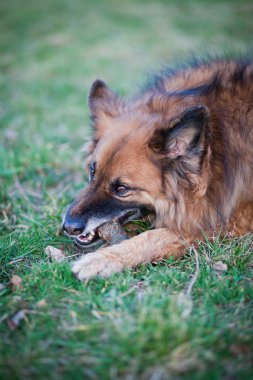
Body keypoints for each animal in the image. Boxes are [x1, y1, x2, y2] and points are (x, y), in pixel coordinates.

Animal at [62, 57, 253, 282]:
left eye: (122, 189)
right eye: (93, 172)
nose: (68, 227)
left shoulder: (221, 221)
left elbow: (155, 236)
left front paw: (102, 259)